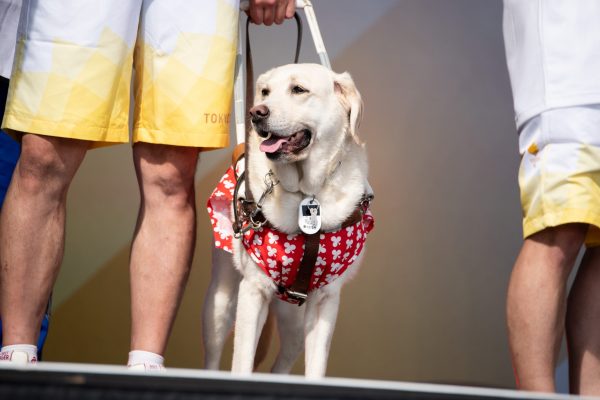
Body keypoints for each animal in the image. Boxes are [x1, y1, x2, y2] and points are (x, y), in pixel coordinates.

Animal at [204, 62, 372, 378]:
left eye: (299, 89)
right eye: (265, 92)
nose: (256, 112)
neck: (307, 191)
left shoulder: (325, 301)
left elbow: (316, 368)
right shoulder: (253, 291)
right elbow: (242, 364)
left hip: (294, 321)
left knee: (280, 366)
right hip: (220, 303)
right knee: (213, 355)